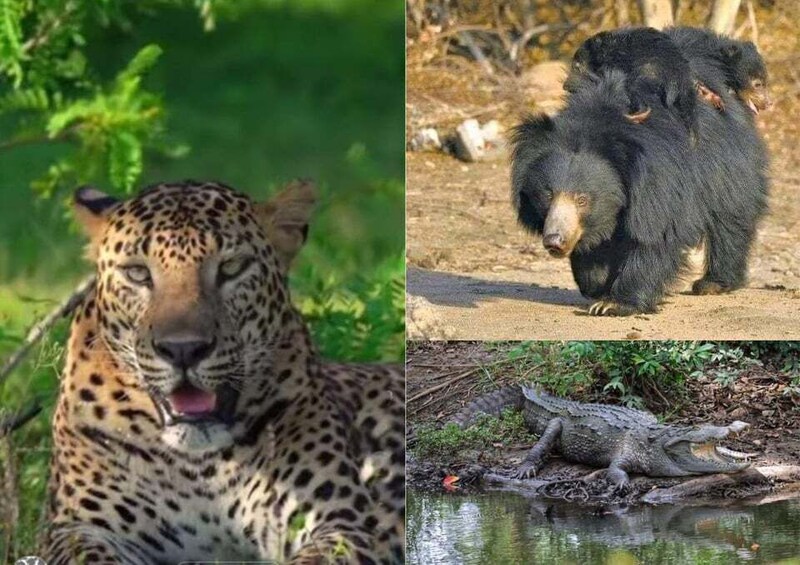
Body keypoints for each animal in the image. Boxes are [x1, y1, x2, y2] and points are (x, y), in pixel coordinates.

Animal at [42, 179, 405, 564]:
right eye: (137, 273)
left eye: (232, 267)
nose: (183, 349)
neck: (199, 469)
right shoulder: (79, 527)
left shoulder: (345, 522)